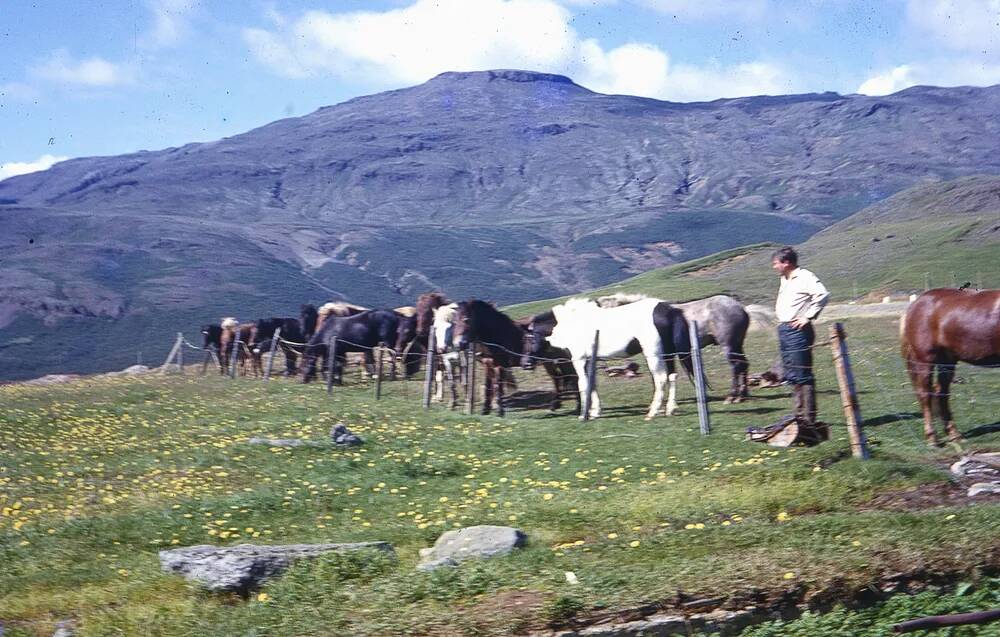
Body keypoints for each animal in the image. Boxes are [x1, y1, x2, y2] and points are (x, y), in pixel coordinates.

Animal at [544, 296, 692, 420]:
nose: (553, 406)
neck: (574, 323)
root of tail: (667, 309)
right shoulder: (589, 361)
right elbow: (592, 384)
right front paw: (595, 413)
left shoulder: (579, 360)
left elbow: (583, 384)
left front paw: (583, 416)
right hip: (668, 354)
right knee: (672, 376)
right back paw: (670, 409)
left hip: (654, 355)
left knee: (660, 378)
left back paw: (652, 412)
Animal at [596, 294, 748, 402]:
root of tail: (740, 308)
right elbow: (668, 375)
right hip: (737, 345)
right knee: (744, 364)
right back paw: (742, 395)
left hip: (728, 345)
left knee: (736, 366)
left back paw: (732, 396)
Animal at [900, 286, 1000, 442]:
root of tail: (916, 304)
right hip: (925, 359)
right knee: (925, 394)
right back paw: (932, 437)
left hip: (946, 360)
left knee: (941, 392)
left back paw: (954, 433)